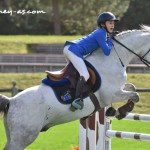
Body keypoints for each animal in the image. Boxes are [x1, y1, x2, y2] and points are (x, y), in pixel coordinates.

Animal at [0, 25, 149, 149]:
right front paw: (120, 111)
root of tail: (11, 101)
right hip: (22, 138)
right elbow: (135, 95)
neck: (114, 58)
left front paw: (116, 111)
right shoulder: (111, 94)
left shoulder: (118, 89)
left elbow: (132, 88)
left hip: (14, 136)